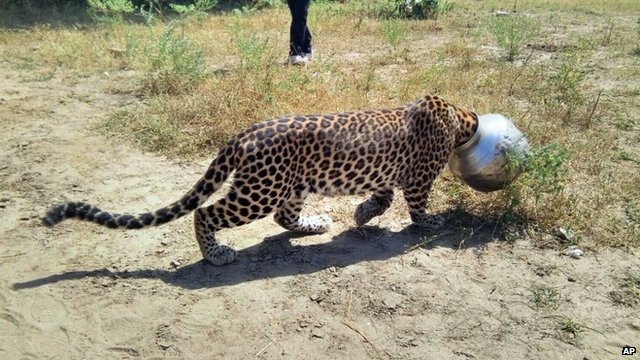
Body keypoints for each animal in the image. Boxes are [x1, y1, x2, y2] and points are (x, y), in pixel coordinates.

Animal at [42, 94, 478, 266]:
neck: (458, 116)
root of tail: (241, 134)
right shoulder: (419, 179)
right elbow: (417, 207)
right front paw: (433, 221)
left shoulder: (389, 174)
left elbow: (382, 197)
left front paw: (360, 213)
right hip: (259, 190)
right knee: (205, 213)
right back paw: (216, 255)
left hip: (291, 185)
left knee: (284, 218)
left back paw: (317, 224)